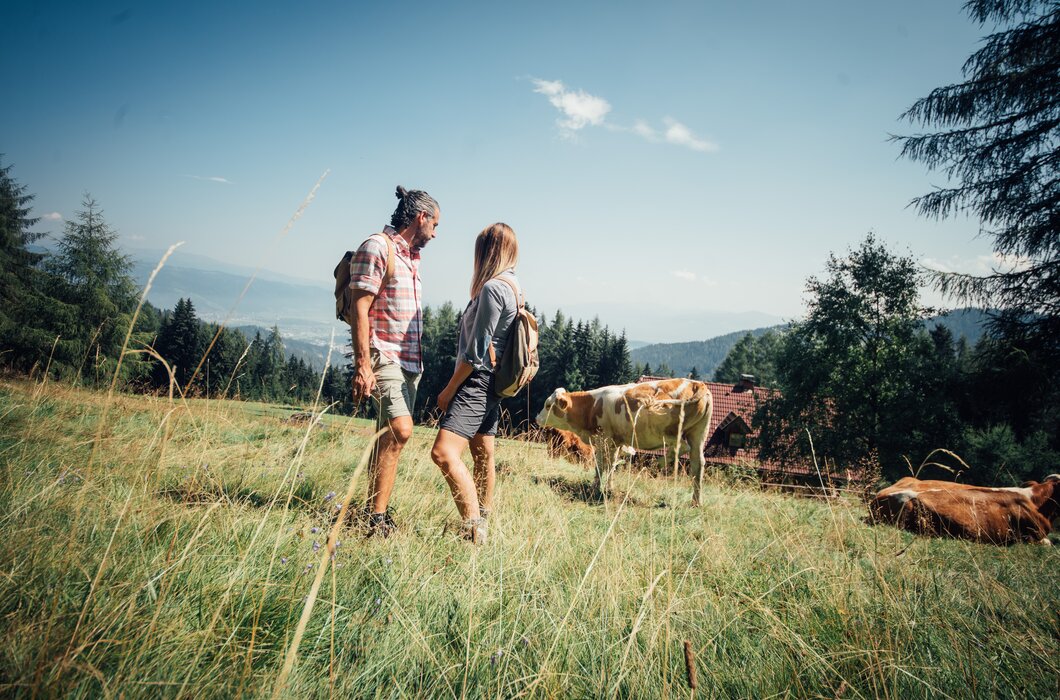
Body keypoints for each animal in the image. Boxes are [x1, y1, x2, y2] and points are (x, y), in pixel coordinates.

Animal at [534, 377, 716, 502]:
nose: (537, 418)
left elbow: (601, 465)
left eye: (548, 405)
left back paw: (659, 463)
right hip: (698, 433)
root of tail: (697, 384)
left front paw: (594, 488)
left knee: (681, 447)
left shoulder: (603, 439)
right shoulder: (616, 442)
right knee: (698, 464)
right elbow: (612, 465)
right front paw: (609, 488)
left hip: (667, 431)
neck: (591, 406)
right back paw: (696, 501)